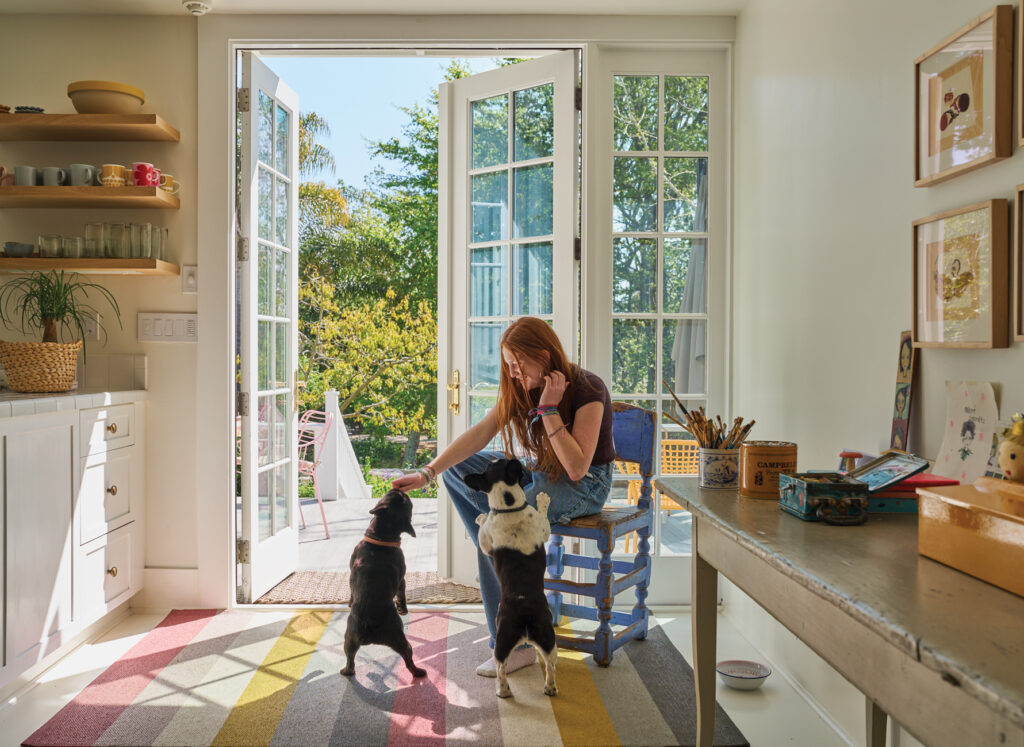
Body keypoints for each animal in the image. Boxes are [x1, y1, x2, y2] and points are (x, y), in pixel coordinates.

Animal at [339, 485, 428, 680]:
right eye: (407, 503)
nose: (400, 490)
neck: (382, 538)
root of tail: (369, 626)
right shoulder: (401, 579)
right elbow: (402, 595)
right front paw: (403, 609)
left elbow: (351, 591)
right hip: (399, 639)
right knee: (408, 659)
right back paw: (418, 672)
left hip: (349, 638)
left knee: (350, 659)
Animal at [466, 457, 561, 696]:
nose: (513, 457)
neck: (508, 508)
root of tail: (525, 614)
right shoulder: (542, 529)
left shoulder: (486, 543)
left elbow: (483, 530)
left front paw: (481, 516)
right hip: (547, 638)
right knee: (550, 664)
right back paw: (549, 688)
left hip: (503, 639)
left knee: (502, 667)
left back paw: (503, 691)